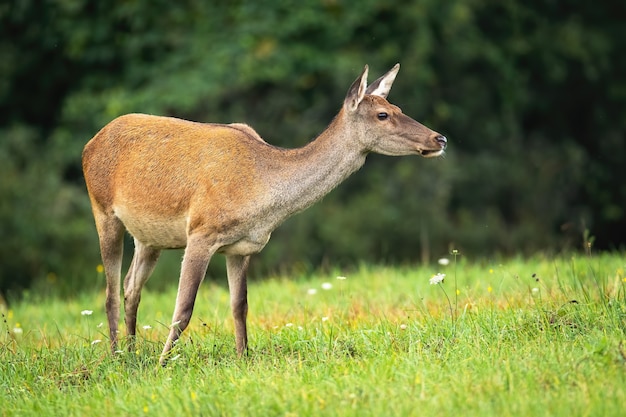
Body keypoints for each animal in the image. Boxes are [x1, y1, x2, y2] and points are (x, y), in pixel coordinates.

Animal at [81, 62, 444, 364]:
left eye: (398, 108)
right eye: (383, 114)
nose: (439, 138)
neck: (261, 193)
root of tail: (89, 143)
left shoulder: (243, 247)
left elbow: (239, 305)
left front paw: (243, 358)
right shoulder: (201, 231)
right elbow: (183, 309)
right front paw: (162, 364)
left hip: (149, 238)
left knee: (131, 286)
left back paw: (131, 352)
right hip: (103, 210)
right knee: (110, 292)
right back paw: (117, 356)